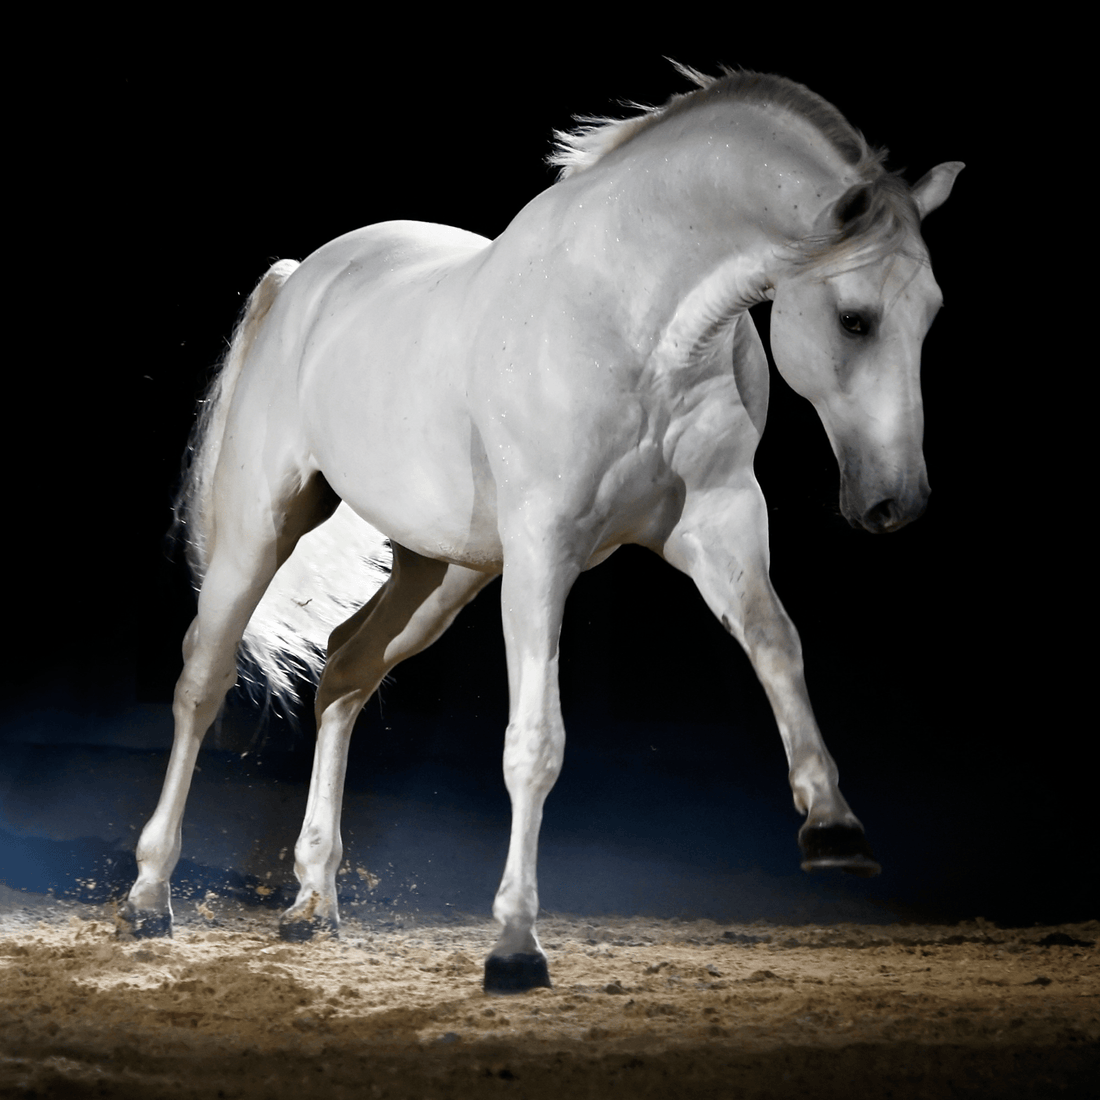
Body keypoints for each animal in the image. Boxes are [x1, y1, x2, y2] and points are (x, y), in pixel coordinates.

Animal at [120, 65, 963, 993]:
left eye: (930, 312)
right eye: (855, 319)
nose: (895, 502)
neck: (640, 320)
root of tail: (303, 274)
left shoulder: (722, 523)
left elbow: (778, 647)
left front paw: (834, 829)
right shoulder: (544, 552)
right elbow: (536, 742)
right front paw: (516, 946)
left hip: (442, 573)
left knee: (343, 670)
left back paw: (312, 902)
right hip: (261, 530)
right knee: (202, 680)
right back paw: (149, 897)